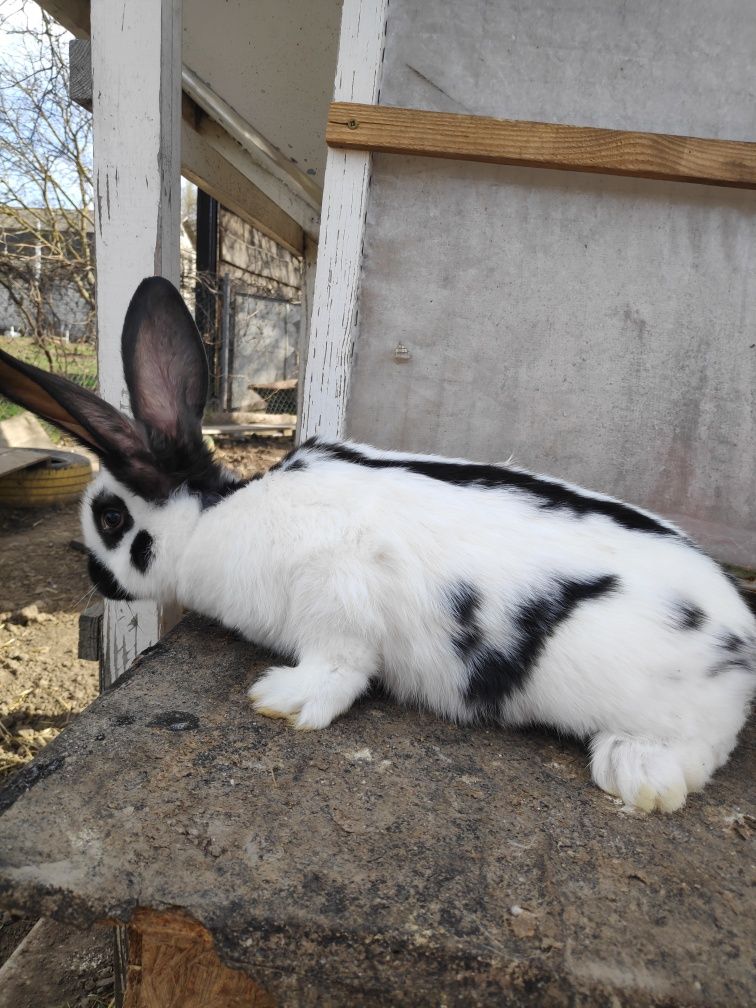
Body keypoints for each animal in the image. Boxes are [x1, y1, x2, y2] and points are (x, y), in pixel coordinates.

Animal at [0, 276, 753, 810]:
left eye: (111, 520)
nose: (98, 582)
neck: (215, 519)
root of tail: (742, 638)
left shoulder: (336, 601)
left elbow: (340, 669)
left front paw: (280, 698)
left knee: (699, 749)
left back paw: (637, 774)